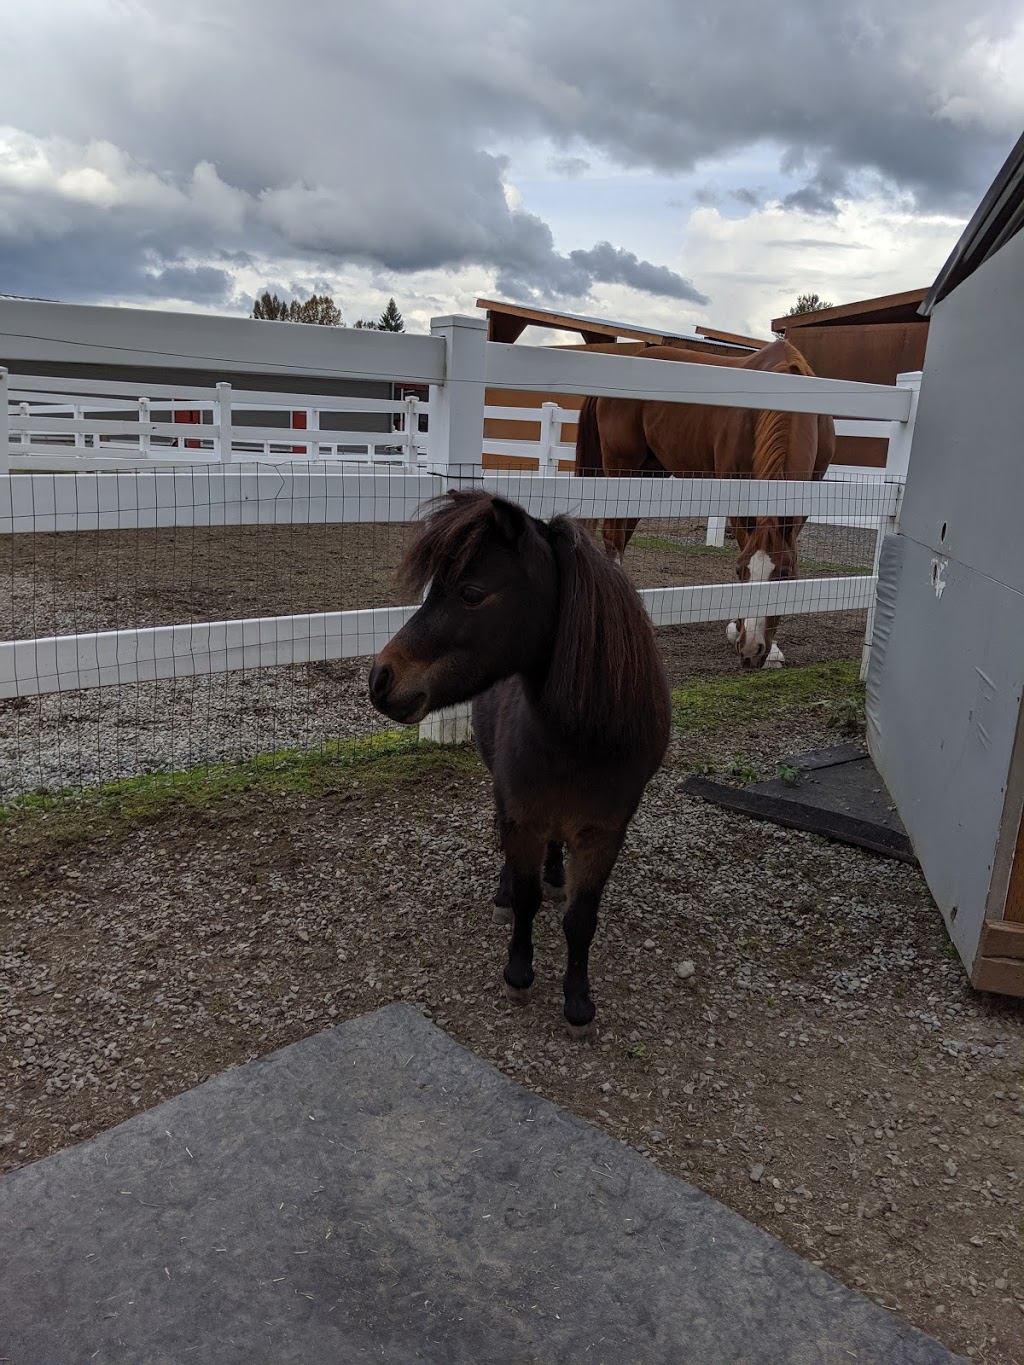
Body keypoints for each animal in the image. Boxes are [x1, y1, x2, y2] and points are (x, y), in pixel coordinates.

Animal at [368, 491, 674, 1031]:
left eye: (471, 593)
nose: (379, 678)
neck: (581, 742)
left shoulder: (604, 832)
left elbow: (581, 919)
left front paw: (578, 1001)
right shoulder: (523, 816)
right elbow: (528, 901)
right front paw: (518, 972)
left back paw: (554, 874)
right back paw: (505, 894)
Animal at [578, 335, 835, 666]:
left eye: (785, 576)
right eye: (740, 572)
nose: (751, 650)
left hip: (649, 473)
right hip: (622, 469)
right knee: (614, 536)